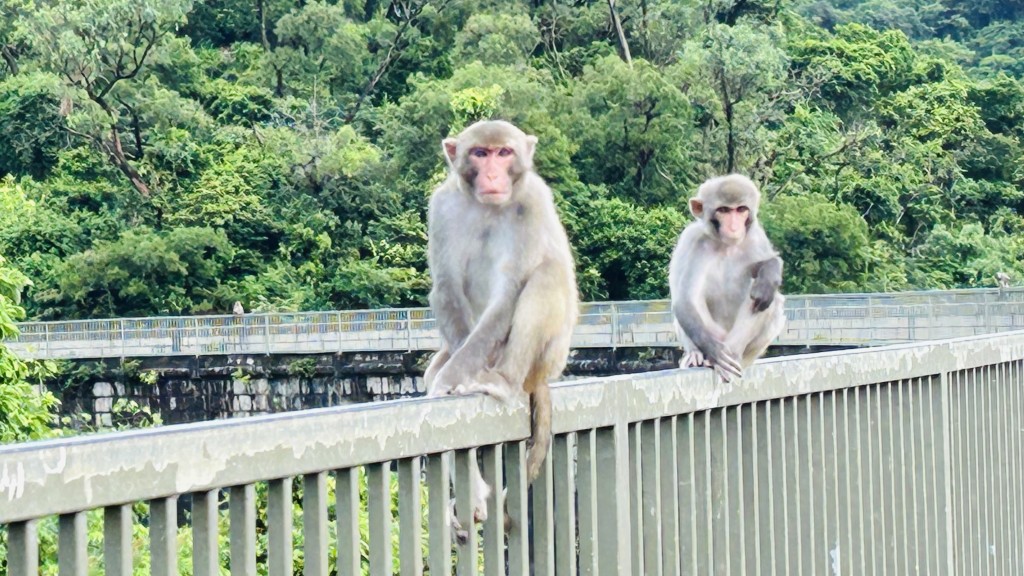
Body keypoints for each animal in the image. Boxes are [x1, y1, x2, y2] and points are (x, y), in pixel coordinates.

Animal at [423, 118, 581, 541]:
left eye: (504, 153)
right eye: (480, 153)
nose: (492, 174)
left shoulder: (534, 202)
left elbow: (511, 289)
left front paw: (455, 379)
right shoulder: (442, 207)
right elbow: (446, 286)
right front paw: (450, 379)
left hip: (549, 356)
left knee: (546, 276)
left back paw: (503, 380)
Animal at [667, 174, 786, 381]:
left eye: (741, 209)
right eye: (723, 210)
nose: (733, 226)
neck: (726, 245)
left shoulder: (755, 237)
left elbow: (766, 264)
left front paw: (768, 277)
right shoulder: (696, 242)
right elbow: (685, 300)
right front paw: (715, 352)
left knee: (771, 301)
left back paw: (734, 354)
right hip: (715, 331)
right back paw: (699, 355)